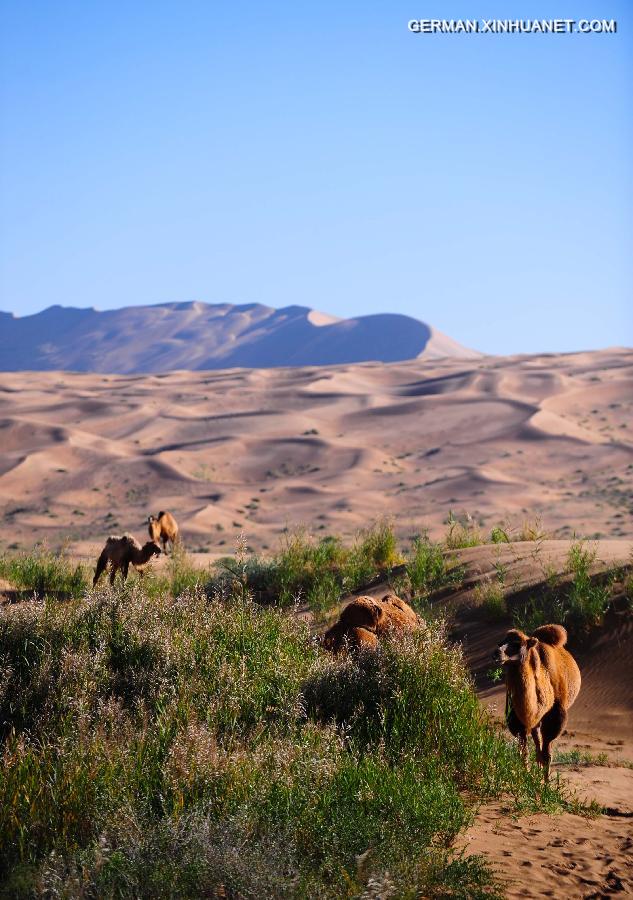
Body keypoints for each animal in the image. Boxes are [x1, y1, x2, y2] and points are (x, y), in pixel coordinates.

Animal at [492, 624, 580, 780]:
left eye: (517, 644)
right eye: (500, 642)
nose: (497, 653)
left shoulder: (555, 717)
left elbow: (547, 754)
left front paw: (546, 784)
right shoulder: (516, 718)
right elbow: (524, 752)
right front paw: (526, 778)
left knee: (542, 747)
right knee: (537, 742)